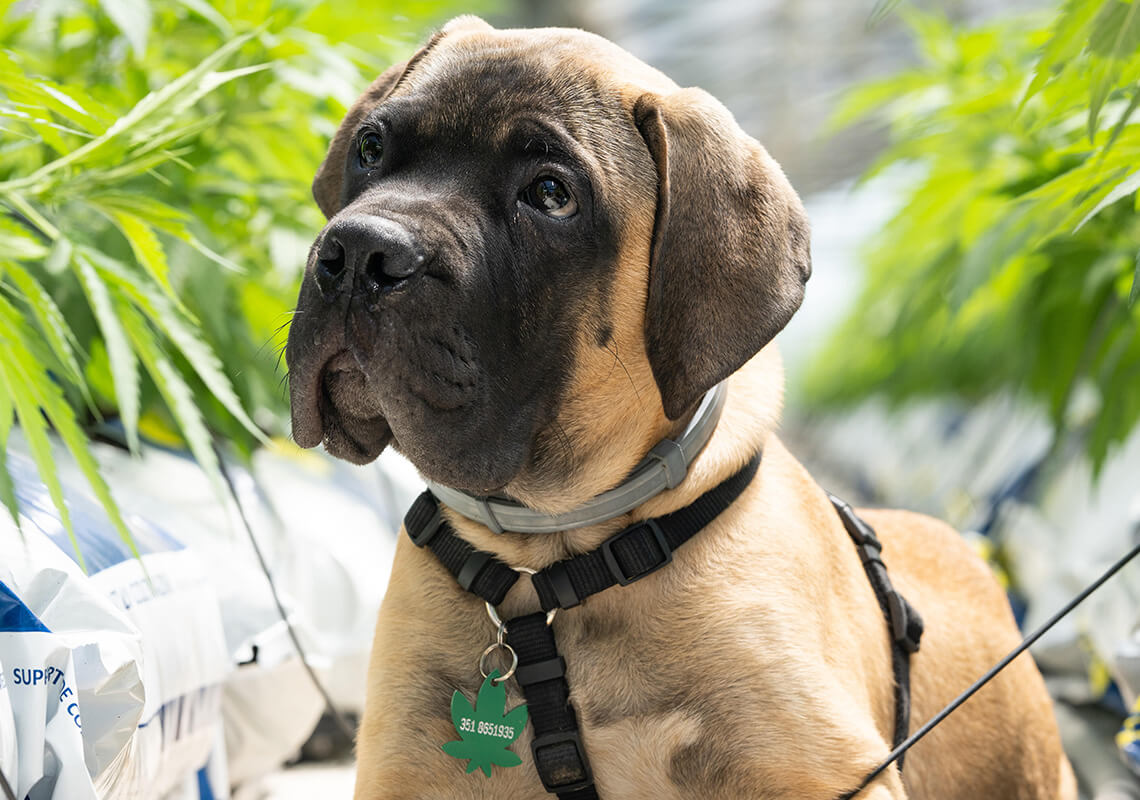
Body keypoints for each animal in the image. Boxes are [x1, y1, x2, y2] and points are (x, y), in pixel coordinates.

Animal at [287, 14, 1076, 800]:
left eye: (550, 194)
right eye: (371, 148)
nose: (358, 255)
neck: (549, 560)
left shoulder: (835, 770)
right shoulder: (404, 765)